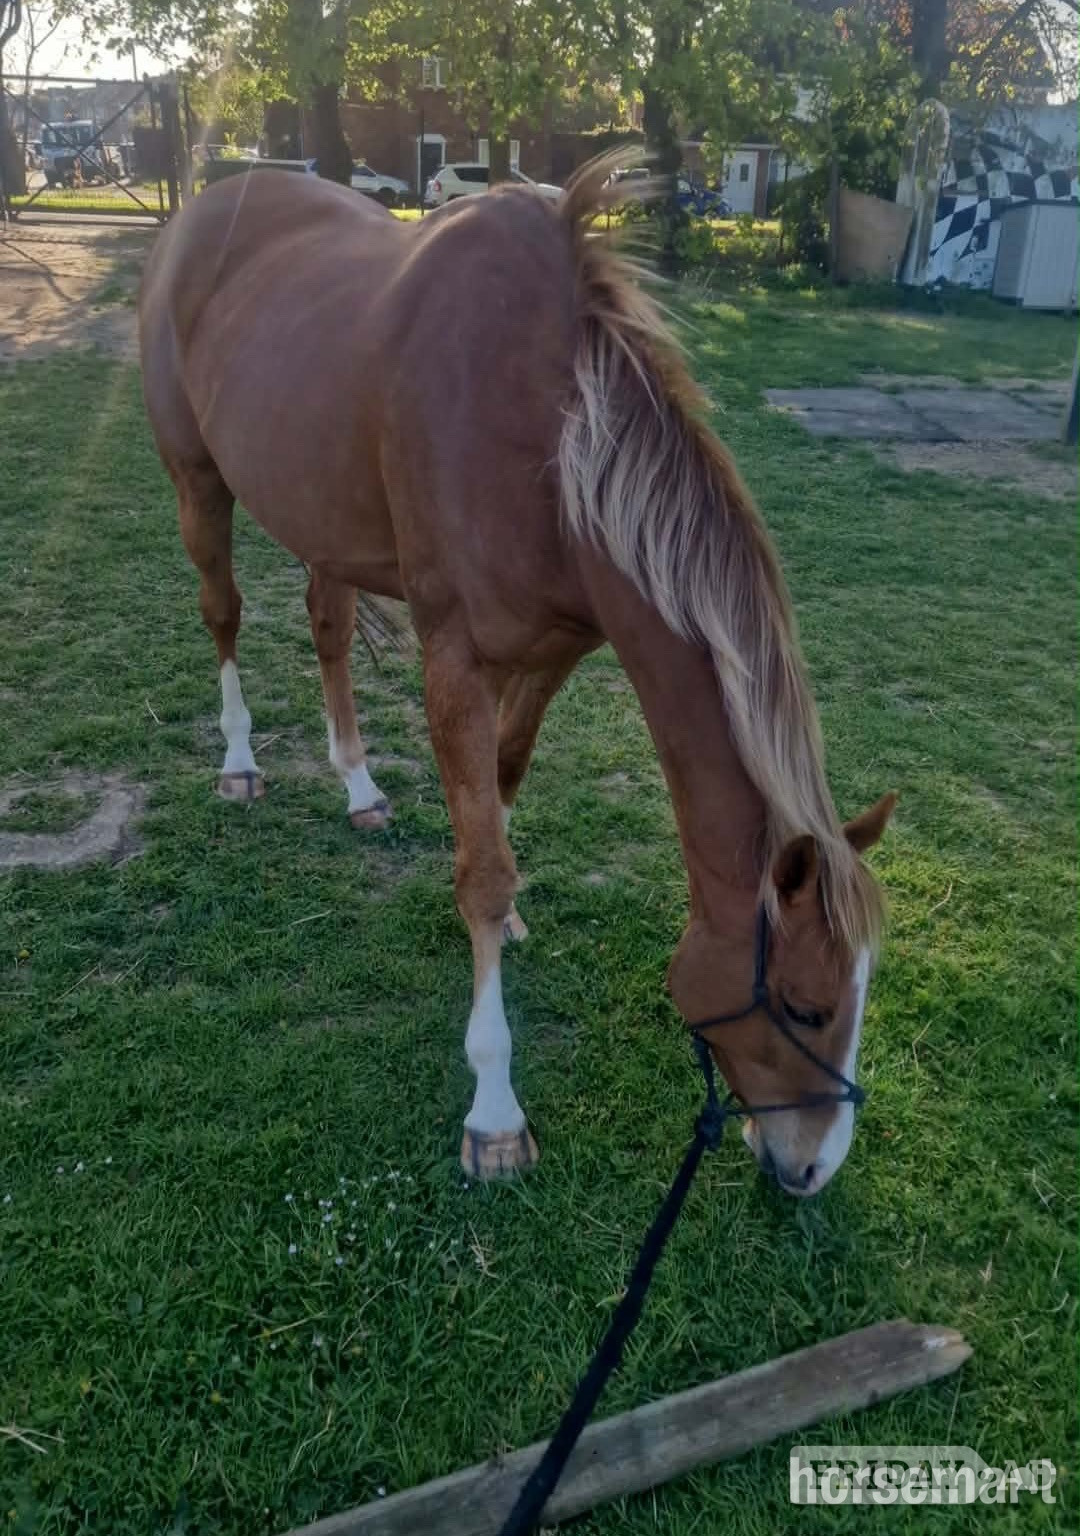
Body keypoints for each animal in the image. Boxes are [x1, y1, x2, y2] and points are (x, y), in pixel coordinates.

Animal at [138, 152, 896, 1194]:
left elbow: (499, 788)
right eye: (806, 1006)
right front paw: (494, 1112)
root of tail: (203, 209)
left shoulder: (555, 650)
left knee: (328, 627)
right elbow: (485, 872)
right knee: (224, 616)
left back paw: (360, 786)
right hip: (197, 483)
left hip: (323, 518)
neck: (550, 432)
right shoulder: (454, 655)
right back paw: (241, 763)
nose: (813, 1167)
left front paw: (509, 919)